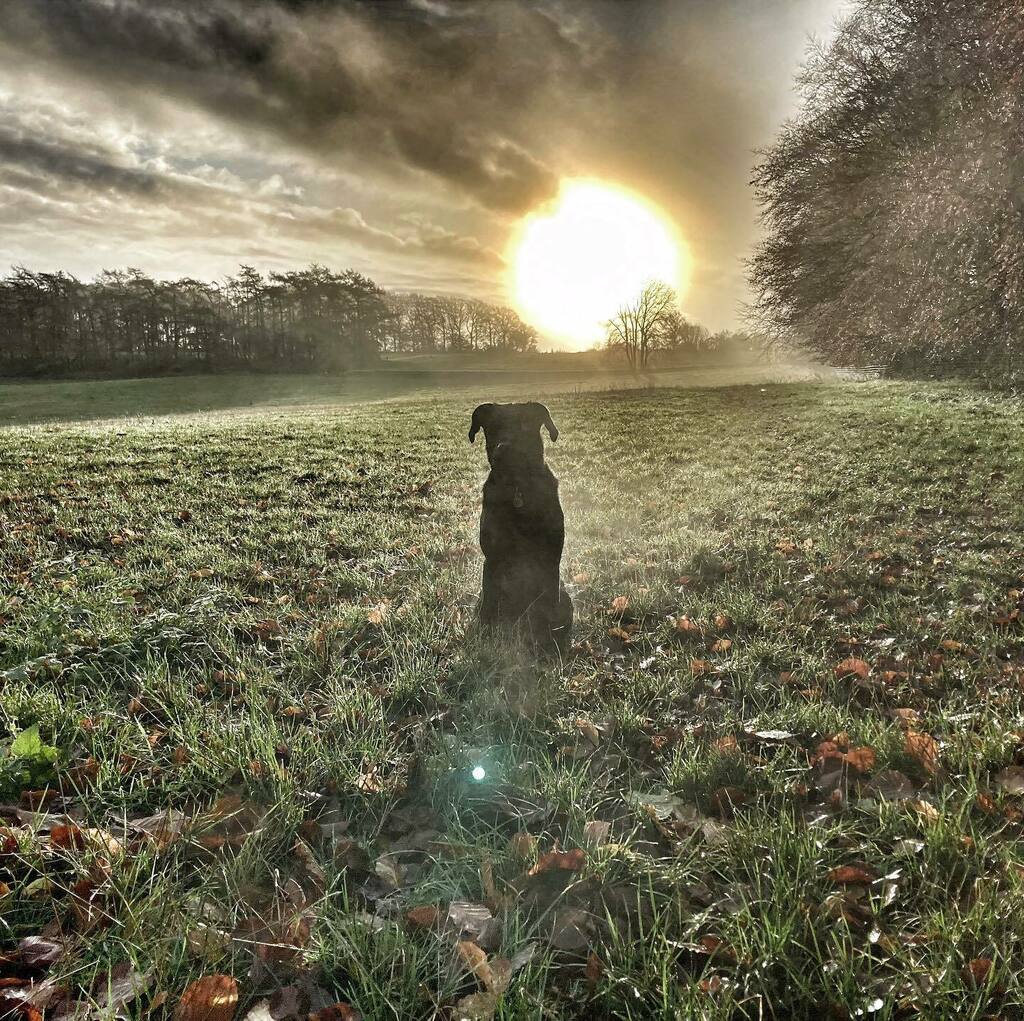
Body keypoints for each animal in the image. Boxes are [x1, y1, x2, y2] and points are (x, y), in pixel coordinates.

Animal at [468, 401, 573, 651]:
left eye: (525, 425)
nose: (505, 448)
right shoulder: (493, 560)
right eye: (492, 427)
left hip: (565, 596)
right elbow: (490, 606)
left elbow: (548, 606)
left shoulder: (550, 558)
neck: (518, 486)